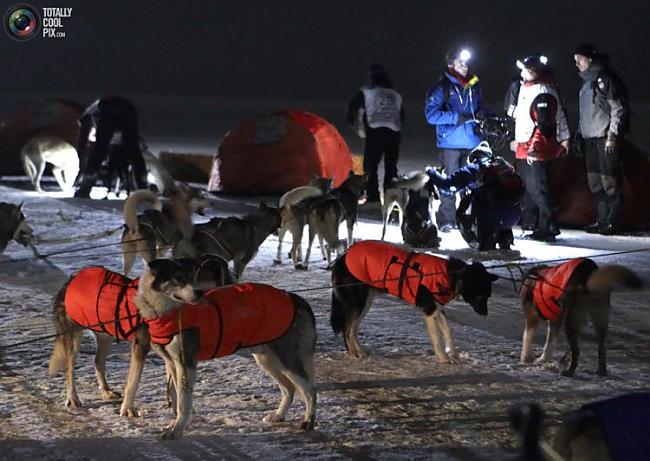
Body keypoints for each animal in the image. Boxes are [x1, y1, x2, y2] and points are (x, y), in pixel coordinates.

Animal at [48, 253, 232, 408]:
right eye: (178, 278)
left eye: (194, 278)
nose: (198, 293)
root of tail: (70, 281)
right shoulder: (140, 345)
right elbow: (133, 381)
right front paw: (128, 410)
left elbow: (172, 378)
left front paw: (175, 406)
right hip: (73, 337)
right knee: (70, 369)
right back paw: (73, 398)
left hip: (105, 334)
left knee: (98, 361)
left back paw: (106, 392)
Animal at [126, 258, 314, 438]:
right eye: (177, 277)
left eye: (191, 278)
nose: (199, 293)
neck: (168, 311)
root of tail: (295, 298)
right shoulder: (172, 363)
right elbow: (178, 398)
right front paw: (179, 424)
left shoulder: (186, 364)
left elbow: (182, 403)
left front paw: (177, 430)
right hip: (267, 360)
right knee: (289, 389)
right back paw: (279, 415)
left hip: (286, 360)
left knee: (310, 390)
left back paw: (308, 422)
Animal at [330, 239, 496, 362]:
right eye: (480, 296)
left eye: (488, 296)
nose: (485, 314)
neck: (448, 274)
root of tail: (342, 257)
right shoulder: (429, 311)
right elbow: (437, 338)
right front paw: (443, 358)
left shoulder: (438, 309)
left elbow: (448, 331)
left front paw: (454, 354)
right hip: (358, 303)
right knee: (347, 329)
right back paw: (353, 354)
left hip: (364, 304)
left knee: (353, 329)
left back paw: (360, 350)